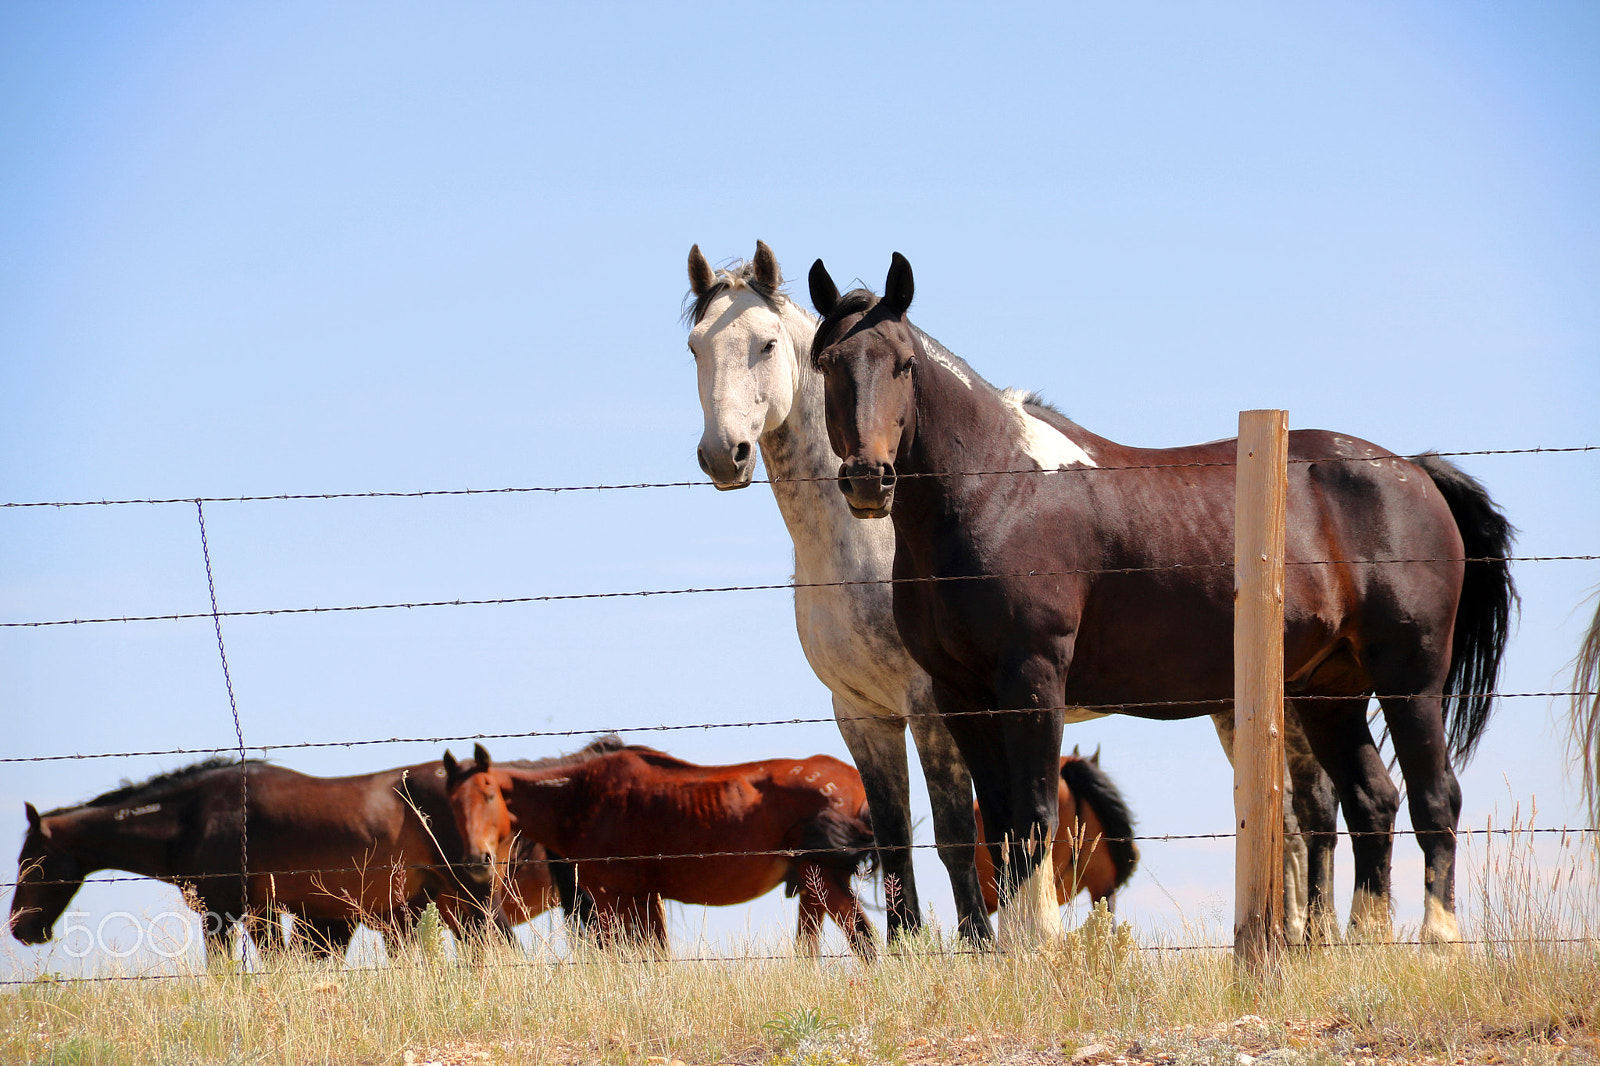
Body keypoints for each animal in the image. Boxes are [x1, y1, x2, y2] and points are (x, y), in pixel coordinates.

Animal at [9, 753, 589, 961]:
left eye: (30, 863)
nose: (20, 928)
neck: (196, 816)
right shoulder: (269, 914)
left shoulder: (226, 913)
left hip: (469, 896)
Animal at [443, 743, 878, 958]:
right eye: (451, 804)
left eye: (488, 795)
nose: (476, 861)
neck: (581, 797)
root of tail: (855, 779)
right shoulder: (644, 898)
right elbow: (657, 954)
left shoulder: (612, 899)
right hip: (812, 885)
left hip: (820, 879)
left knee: (864, 939)